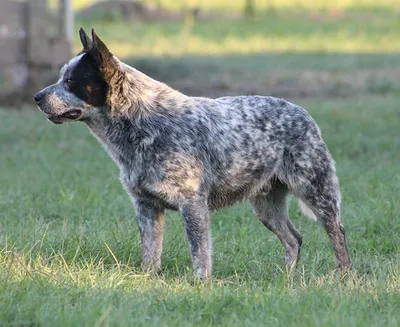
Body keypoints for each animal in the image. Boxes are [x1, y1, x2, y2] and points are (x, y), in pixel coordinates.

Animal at [33, 28, 350, 280]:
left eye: (71, 81)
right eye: (61, 78)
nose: (37, 97)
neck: (142, 122)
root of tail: (302, 112)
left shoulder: (192, 204)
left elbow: (200, 251)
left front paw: (200, 283)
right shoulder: (146, 205)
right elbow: (150, 252)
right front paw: (148, 279)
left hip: (317, 191)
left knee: (338, 234)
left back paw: (344, 278)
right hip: (266, 204)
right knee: (293, 239)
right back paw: (287, 278)